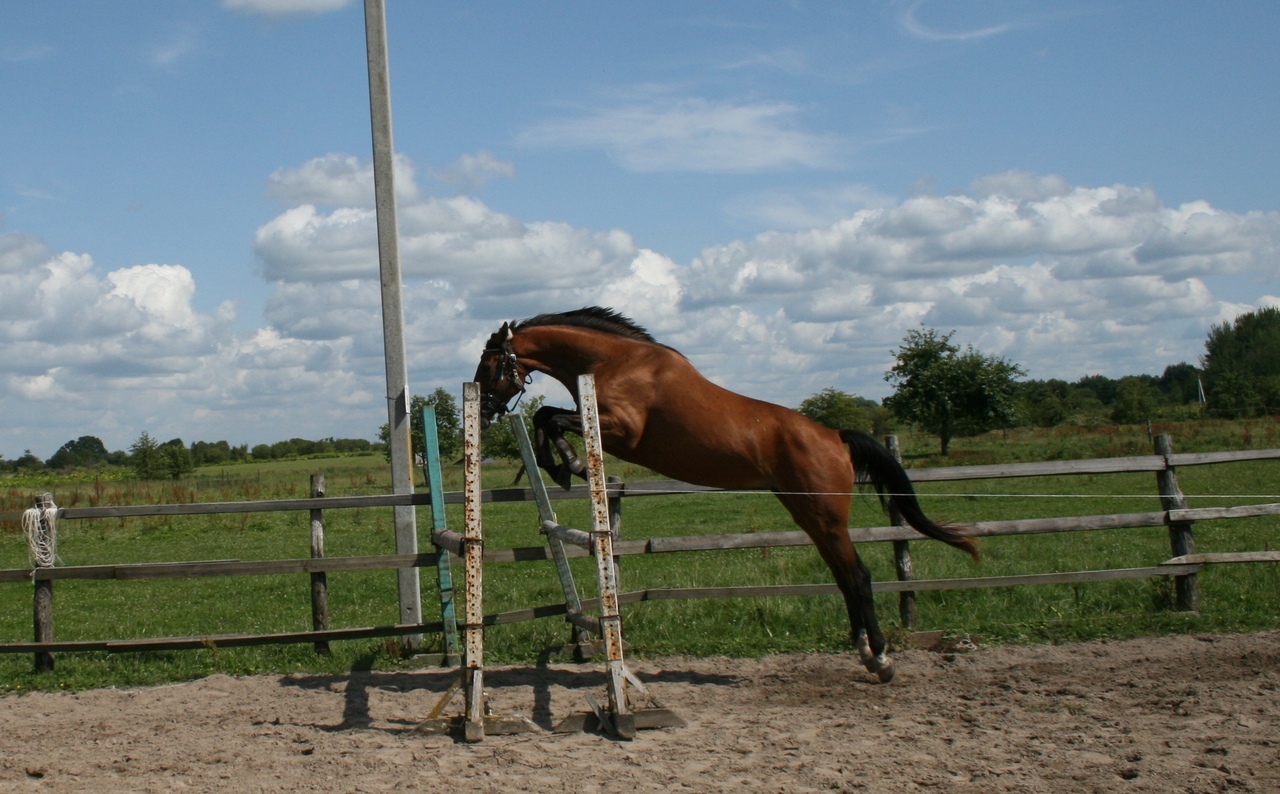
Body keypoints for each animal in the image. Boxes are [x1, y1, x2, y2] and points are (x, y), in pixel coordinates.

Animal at [476, 307, 972, 681]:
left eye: (488, 366)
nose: (481, 412)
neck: (613, 362)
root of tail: (835, 437)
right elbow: (545, 417)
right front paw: (565, 466)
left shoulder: (621, 430)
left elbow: (549, 417)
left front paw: (568, 465)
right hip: (809, 515)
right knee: (845, 576)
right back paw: (867, 653)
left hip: (826, 517)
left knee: (860, 576)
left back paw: (882, 658)